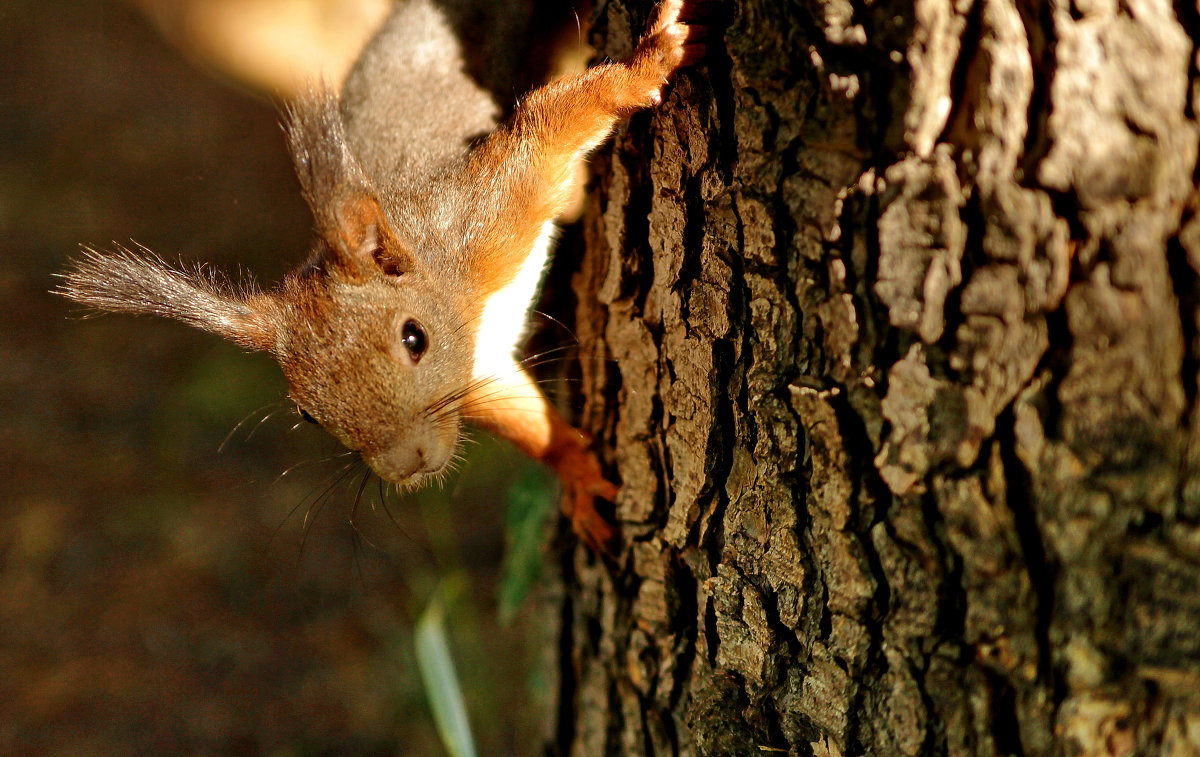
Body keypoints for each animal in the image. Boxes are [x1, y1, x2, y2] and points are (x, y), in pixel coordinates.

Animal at [58, 0, 700, 551]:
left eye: (414, 338)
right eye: (305, 413)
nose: (407, 465)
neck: (455, 290)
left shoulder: (484, 215)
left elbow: (545, 129)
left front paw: (648, 60)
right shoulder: (478, 366)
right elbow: (519, 412)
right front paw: (574, 470)